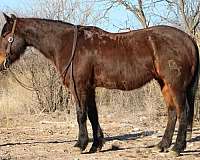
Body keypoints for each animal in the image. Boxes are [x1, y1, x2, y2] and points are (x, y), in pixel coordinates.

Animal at [0, 13, 198, 156]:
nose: (1, 63)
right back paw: (162, 145)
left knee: (183, 112)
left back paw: (177, 148)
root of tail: (188, 39)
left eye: (6, 36)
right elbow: (93, 115)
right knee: (172, 113)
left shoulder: (79, 87)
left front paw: (80, 145)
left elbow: (81, 115)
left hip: (176, 86)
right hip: (164, 84)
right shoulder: (89, 88)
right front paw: (96, 145)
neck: (68, 45)